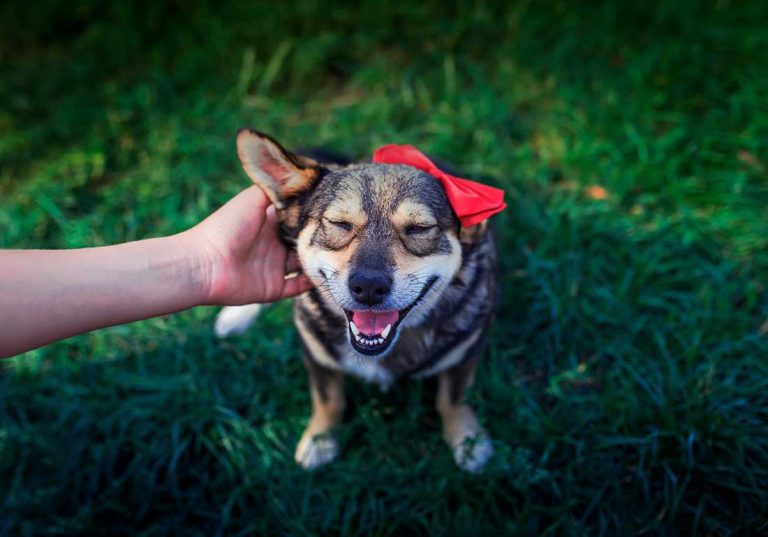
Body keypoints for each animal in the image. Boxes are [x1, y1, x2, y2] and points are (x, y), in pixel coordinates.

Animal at [216, 132, 500, 472]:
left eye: (419, 229)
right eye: (339, 224)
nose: (369, 287)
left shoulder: (467, 349)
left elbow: (452, 399)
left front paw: (468, 441)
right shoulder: (315, 351)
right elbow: (328, 400)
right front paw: (320, 440)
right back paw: (236, 316)